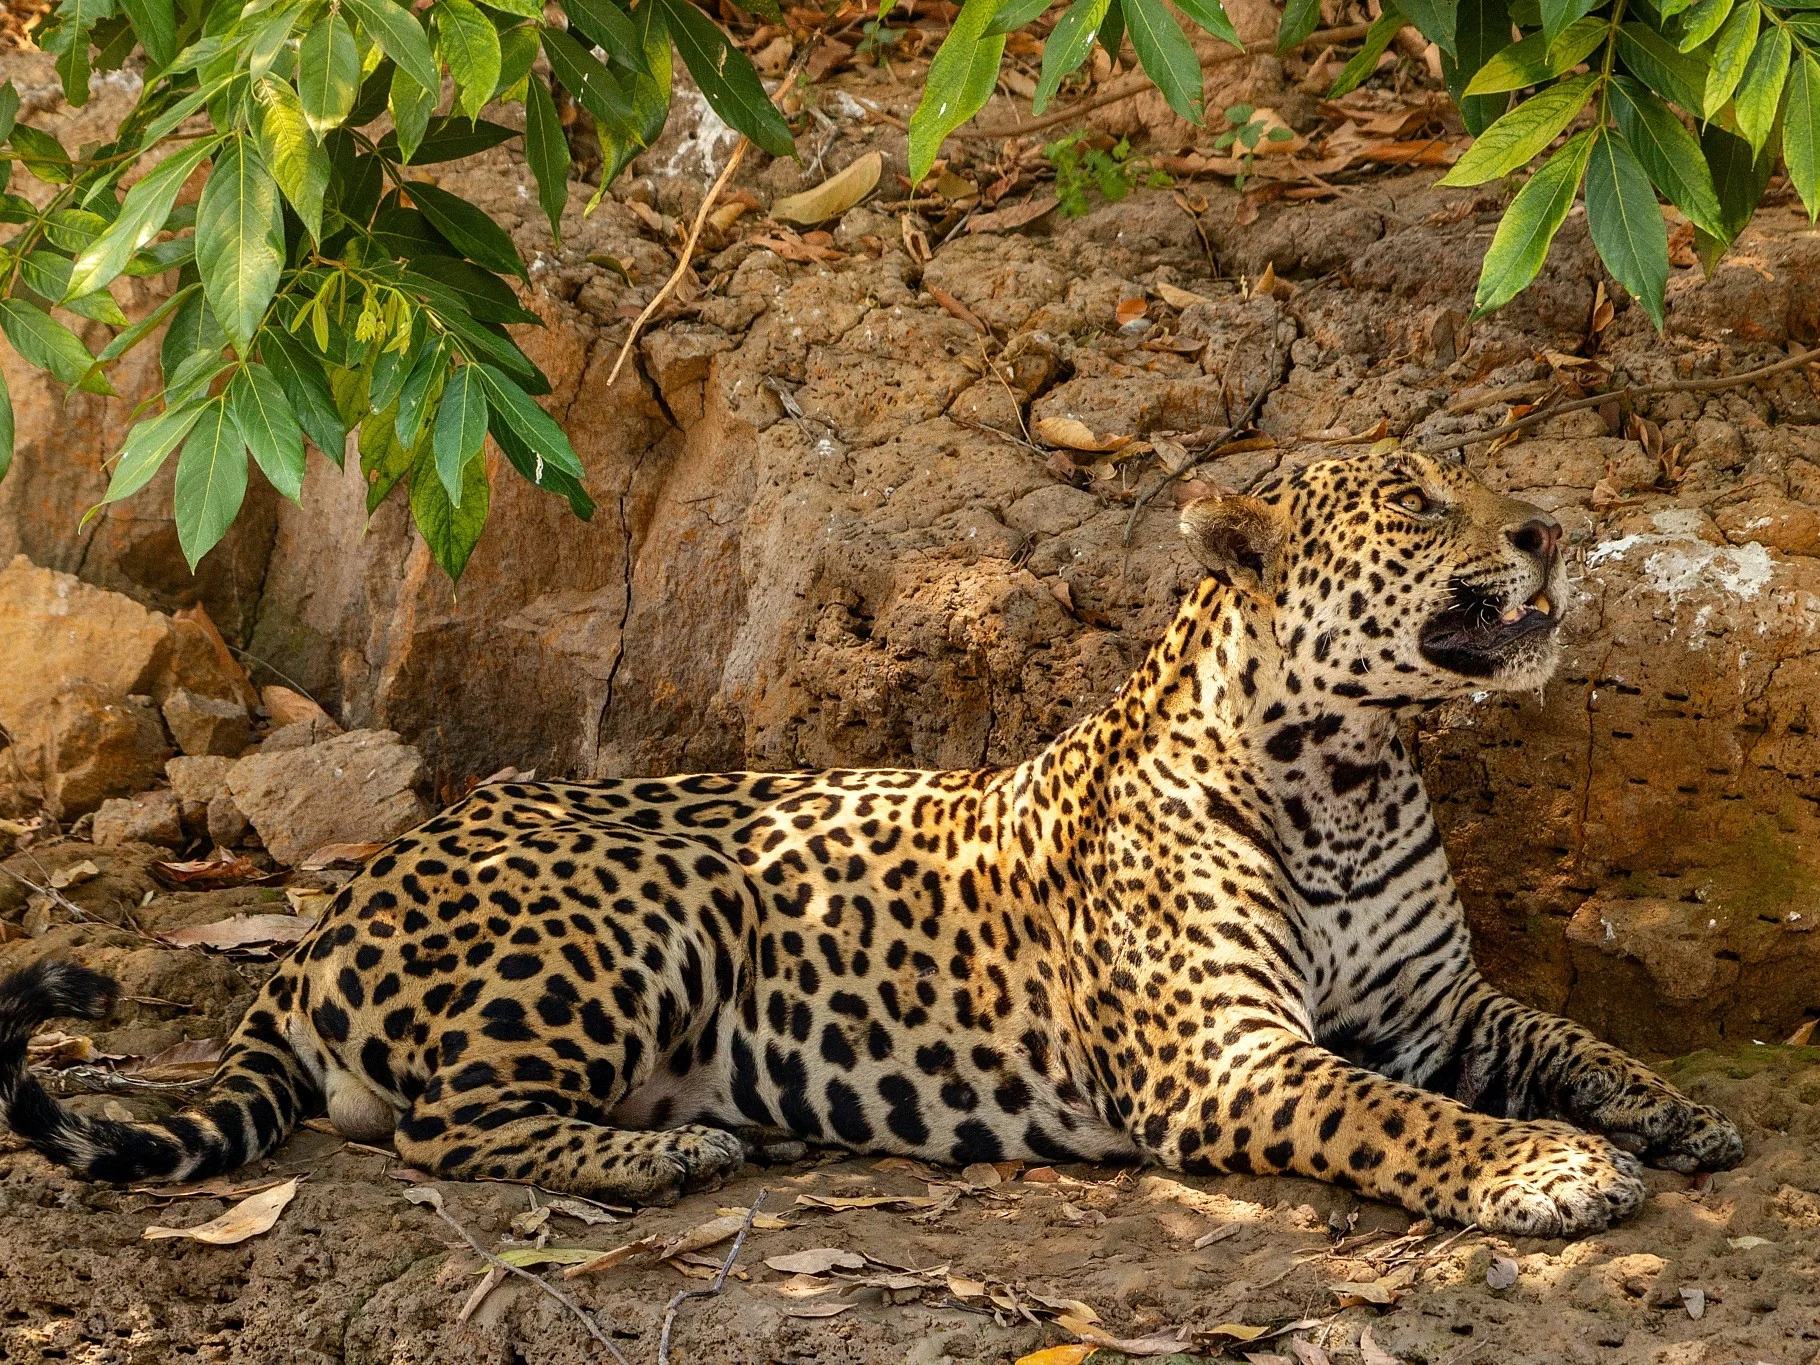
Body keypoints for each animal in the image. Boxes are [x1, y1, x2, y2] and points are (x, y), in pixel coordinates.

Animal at [0, 448, 1743, 1237]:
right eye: (1414, 497)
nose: (1548, 530)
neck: (1355, 773)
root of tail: (334, 907)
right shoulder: (1233, 1059)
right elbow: (1402, 1118)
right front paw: (1549, 1170)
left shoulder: (1438, 1005)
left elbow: (1561, 1035)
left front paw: (1670, 1110)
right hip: (647, 905)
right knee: (442, 1126)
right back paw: (671, 1152)